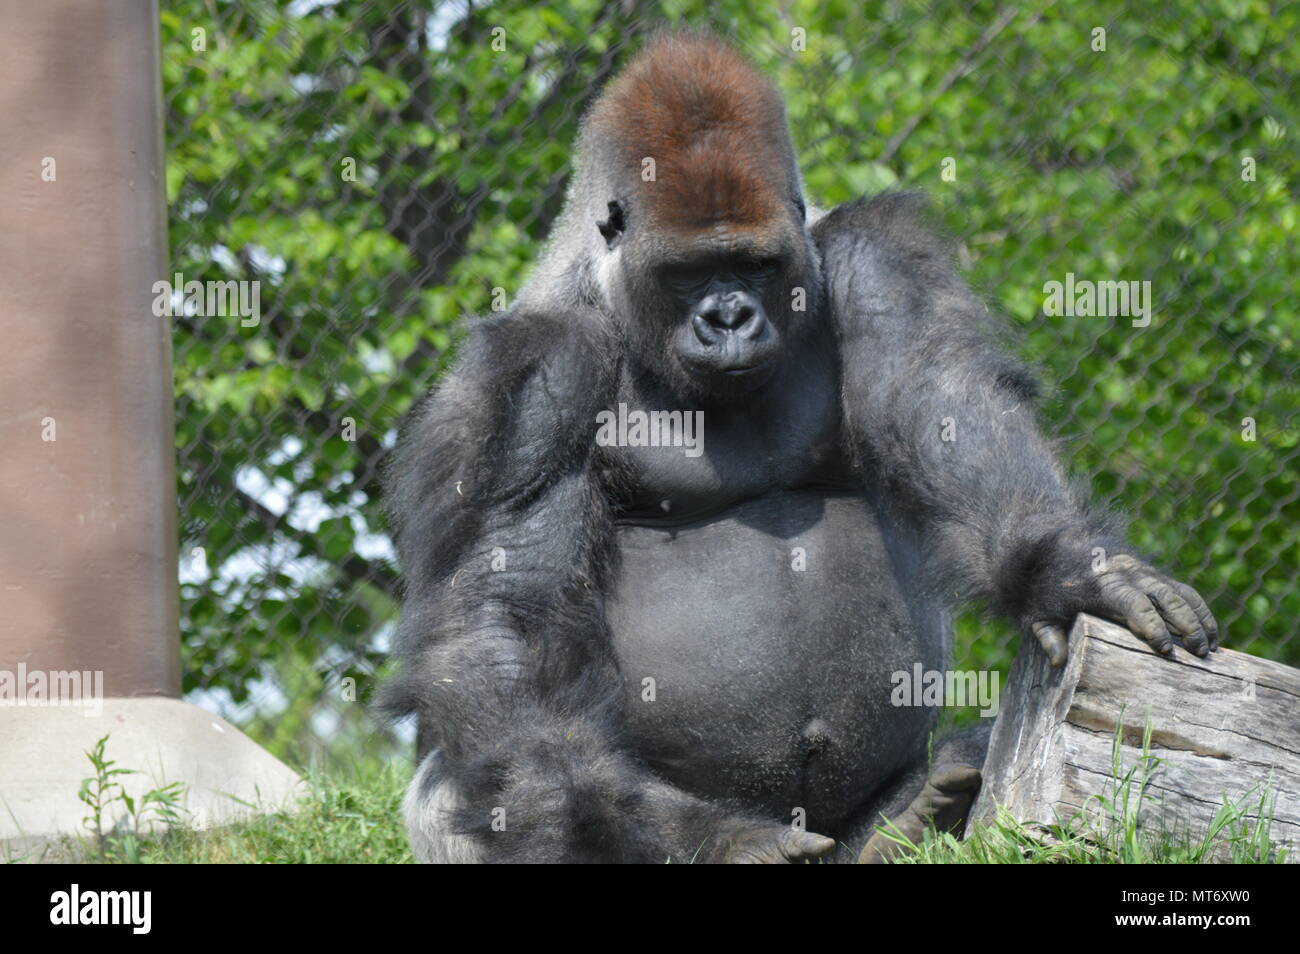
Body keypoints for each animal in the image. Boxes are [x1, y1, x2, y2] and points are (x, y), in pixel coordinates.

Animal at [382, 31, 1216, 868]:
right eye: (688, 271)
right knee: (477, 786)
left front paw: (1069, 569)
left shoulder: (872, 261)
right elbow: (504, 624)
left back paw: (917, 812)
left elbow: (941, 403)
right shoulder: (530, 382)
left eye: (754, 264)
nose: (728, 319)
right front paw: (703, 841)